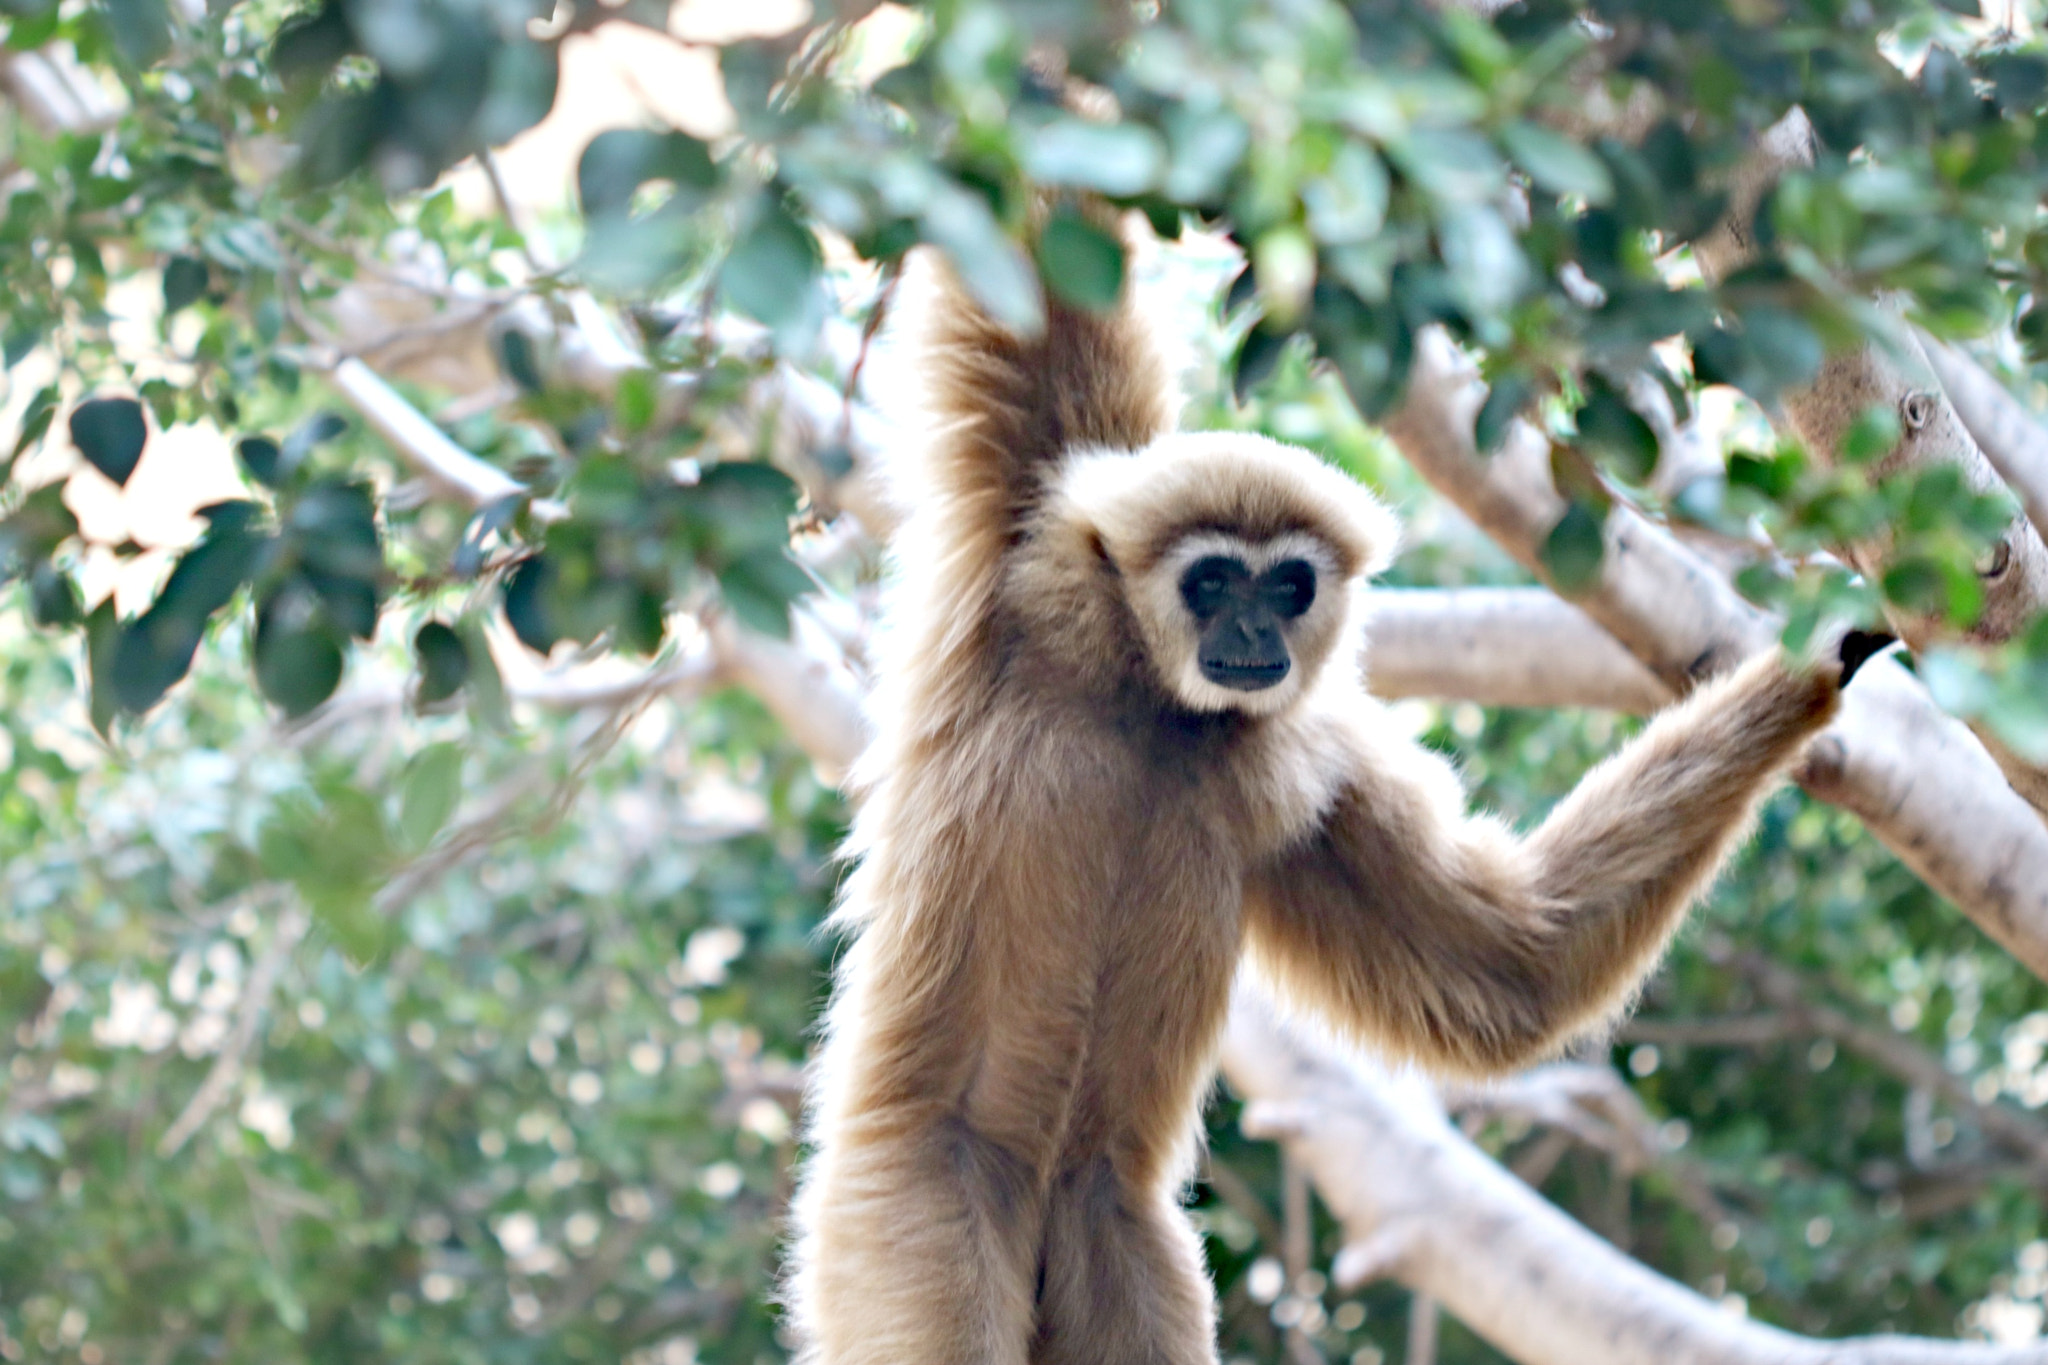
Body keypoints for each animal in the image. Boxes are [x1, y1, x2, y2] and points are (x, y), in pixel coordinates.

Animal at [782, 248, 1878, 1365]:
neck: (1155, 705)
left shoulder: (1313, 764)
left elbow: (1517, 965)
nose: (1252, 631)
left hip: (1113, 1235)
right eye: (1213, 580)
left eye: (1288, 586)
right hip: (903, 1209)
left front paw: (1825, 653)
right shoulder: (1024, 568)